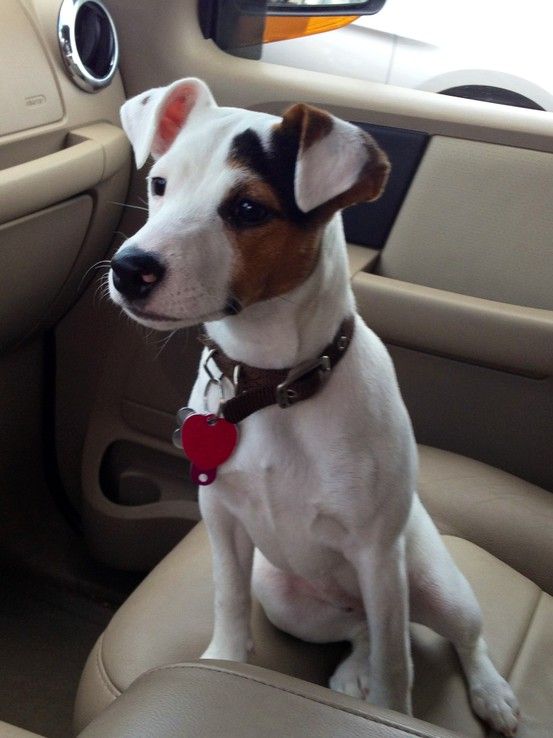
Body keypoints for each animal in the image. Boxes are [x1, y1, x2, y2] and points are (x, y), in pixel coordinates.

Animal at [111, 77, 516, 732]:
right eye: (159, 184)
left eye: (249, 210)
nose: (129, 269)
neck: (273, 387)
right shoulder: (221, 517)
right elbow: (227, 597)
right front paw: (223, 658)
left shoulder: (378, 555)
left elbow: (398, 671)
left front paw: (393, 714)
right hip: (284, 595)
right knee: (362, 632)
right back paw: (353, 667)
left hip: (431, 581)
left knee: (452, 636)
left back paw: (490, 692)